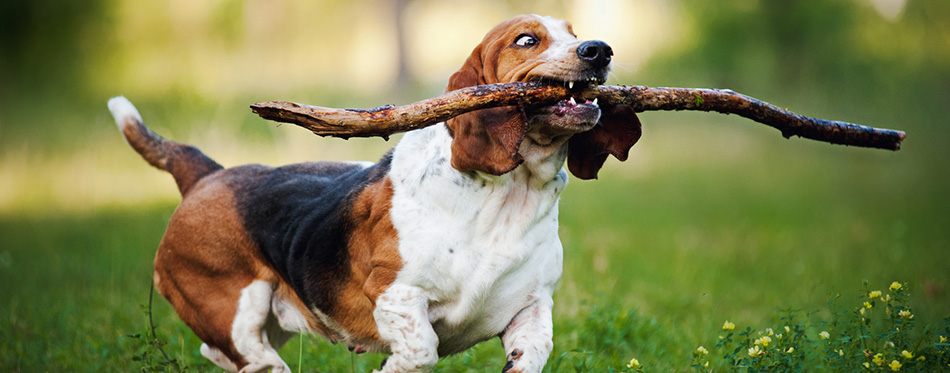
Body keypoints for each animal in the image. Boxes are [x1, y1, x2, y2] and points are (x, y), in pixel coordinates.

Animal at [113, 13, 640, 370]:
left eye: (574, 33)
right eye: (527, 40)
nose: (599, 49)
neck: (510, 196)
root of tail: (207, 175)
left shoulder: (532, 307)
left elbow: (534, 351)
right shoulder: (397, 295)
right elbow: (422, 349)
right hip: (238, 313)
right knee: (247, 354)